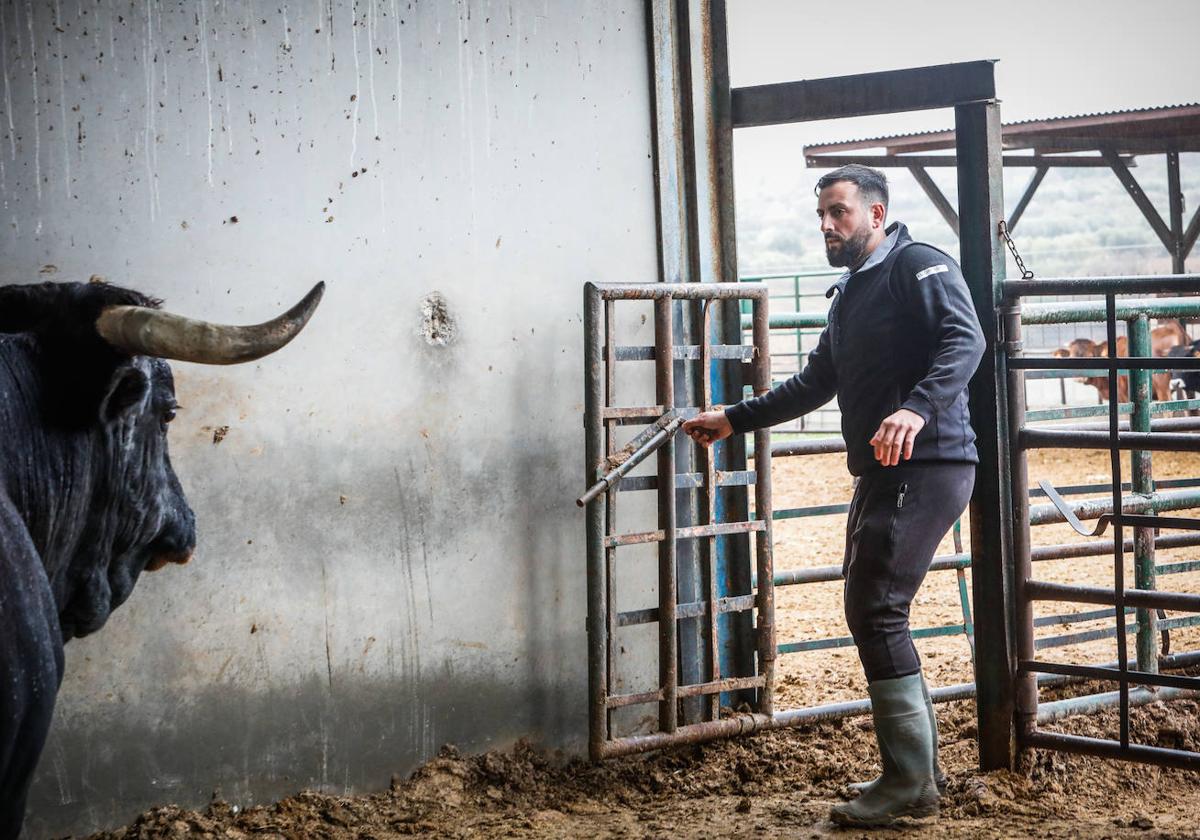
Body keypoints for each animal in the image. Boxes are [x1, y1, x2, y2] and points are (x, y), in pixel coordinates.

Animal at [1051, 319, 1190, 403]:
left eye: (1090, 356)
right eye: (1071, 355)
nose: (1079, 377)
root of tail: (1173, 327)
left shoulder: (1123, 397)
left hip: (1162, 387)